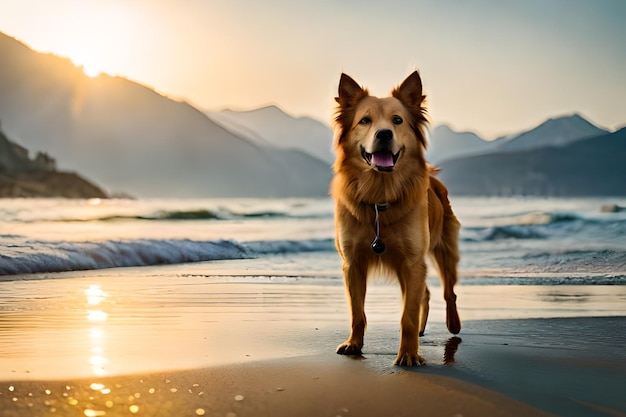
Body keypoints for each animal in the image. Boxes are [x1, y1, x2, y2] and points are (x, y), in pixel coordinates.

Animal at [332, 71, 458, 364]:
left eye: (397, 120)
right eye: (365, 120)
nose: (384, 133)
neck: (380, 195)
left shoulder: (412, 262)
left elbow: (406, 316)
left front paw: (409, 355)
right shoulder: (353, 263)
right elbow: (357, 311)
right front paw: (354, 343)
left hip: (443, 251)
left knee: (449, 292)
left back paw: (453, 325)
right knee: (426, 292)